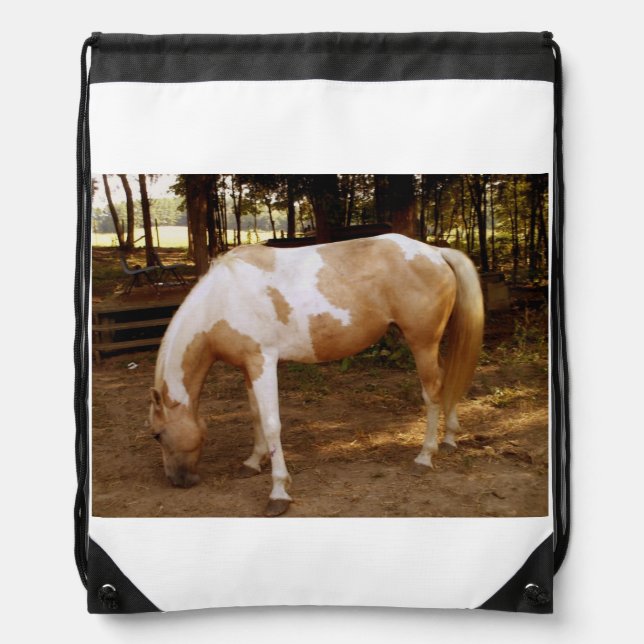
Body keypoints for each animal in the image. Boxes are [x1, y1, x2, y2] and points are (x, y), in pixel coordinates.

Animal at [149, 233, 484, 516]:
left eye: (157, 434)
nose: (177, 481)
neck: (222, 298)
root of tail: (435, 252)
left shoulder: (263, 362)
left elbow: (272, 425)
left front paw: (278, 493)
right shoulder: (249, 367)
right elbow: (256, 417)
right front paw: (253, 462)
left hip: (422, 343)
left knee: (432, 393)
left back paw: (425, 456)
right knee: (446, 381)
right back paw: (450, 438)